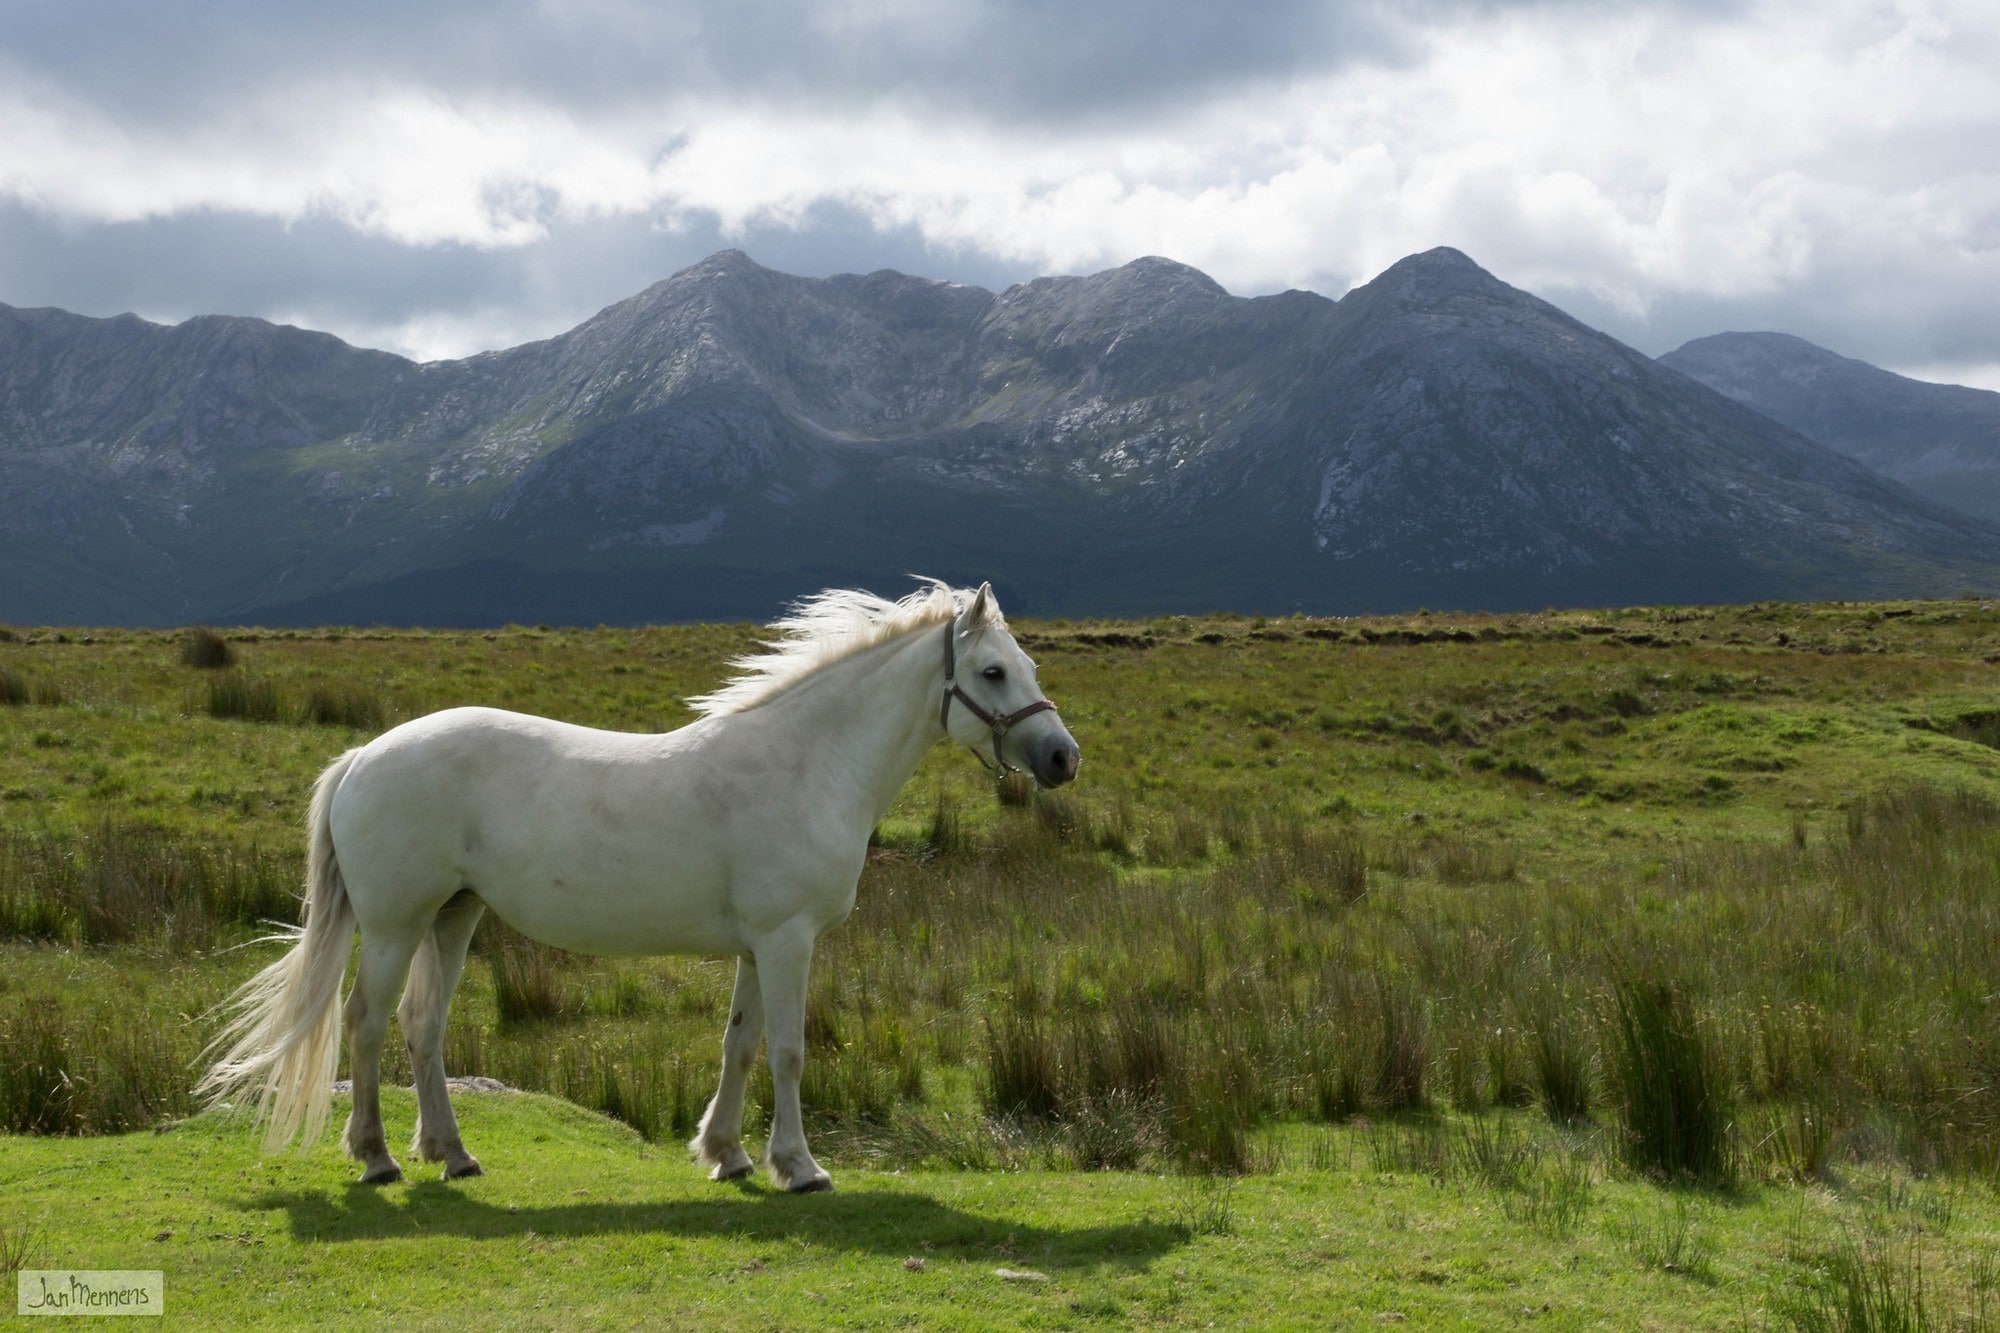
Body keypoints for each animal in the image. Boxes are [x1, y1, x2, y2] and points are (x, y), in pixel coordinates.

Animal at [196, 580, 1079, 1192]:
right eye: (992, 671)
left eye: (1031, 665)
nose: (1063, 757)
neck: (804, 761)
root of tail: (363, 756)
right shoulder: (787, 940)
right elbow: (788, 1052)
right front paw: (799, 1166)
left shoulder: (757, 947)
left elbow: (740, 1045)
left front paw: (726, 1154)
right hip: (391, 925)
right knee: (369, 1025)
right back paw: (377, 1157)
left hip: (453, 917)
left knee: (423, 1026)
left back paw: (453, 1153)